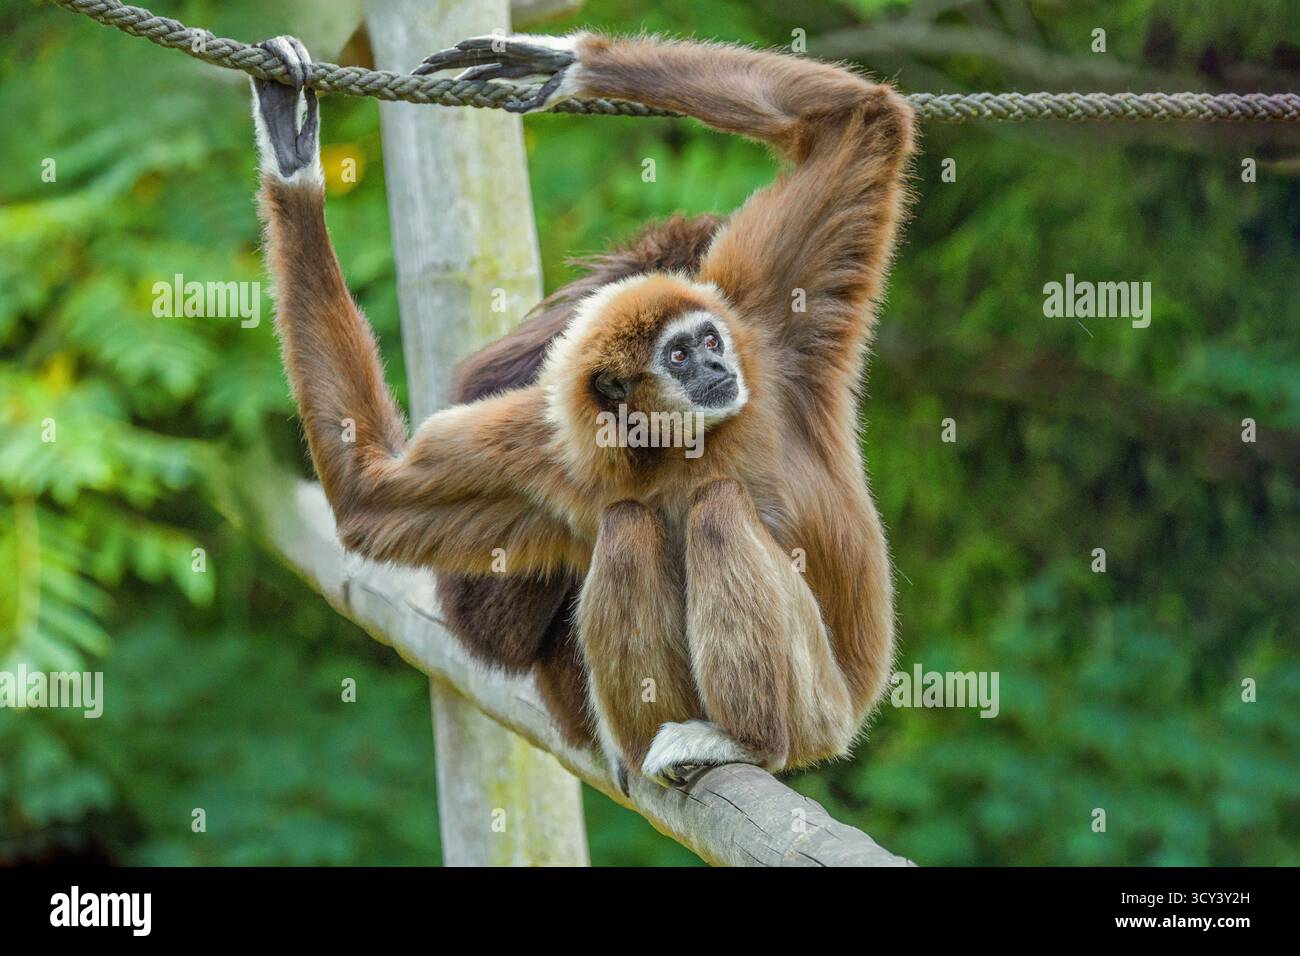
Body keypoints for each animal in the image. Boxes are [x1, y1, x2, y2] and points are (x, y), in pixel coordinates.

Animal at [249, 30, 914, 789]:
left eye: (709, 342)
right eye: (678, 356)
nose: (717, 368)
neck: (673, 444)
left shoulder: (767, 328)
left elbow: (859, 121)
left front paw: (559, 61)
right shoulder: (546, 450)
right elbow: (372, 496)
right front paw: (291, 156)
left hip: (822, 710)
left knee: (716, 509)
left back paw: (747, 740)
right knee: (627, 527)